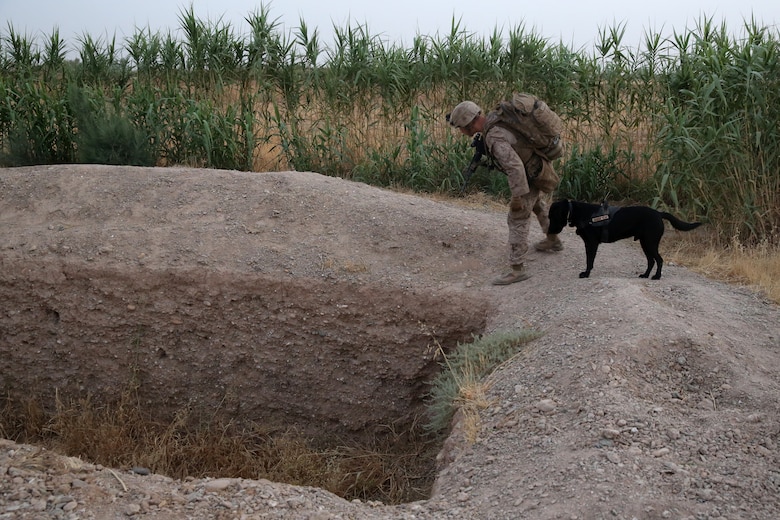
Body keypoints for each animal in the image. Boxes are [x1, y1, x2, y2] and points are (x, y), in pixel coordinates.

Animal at [544, 200, 704, 280]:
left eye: (552, 216)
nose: (549, 231)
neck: (579, 212)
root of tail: (659, 213)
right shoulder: (588, 244)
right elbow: (589, 260)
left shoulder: (592, 244)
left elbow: (589, 261)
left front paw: (586, 274)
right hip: (644, 243)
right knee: (651, 261)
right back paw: (645, 275)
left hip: (650, 243)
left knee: (659, 260)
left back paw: (656, 277)